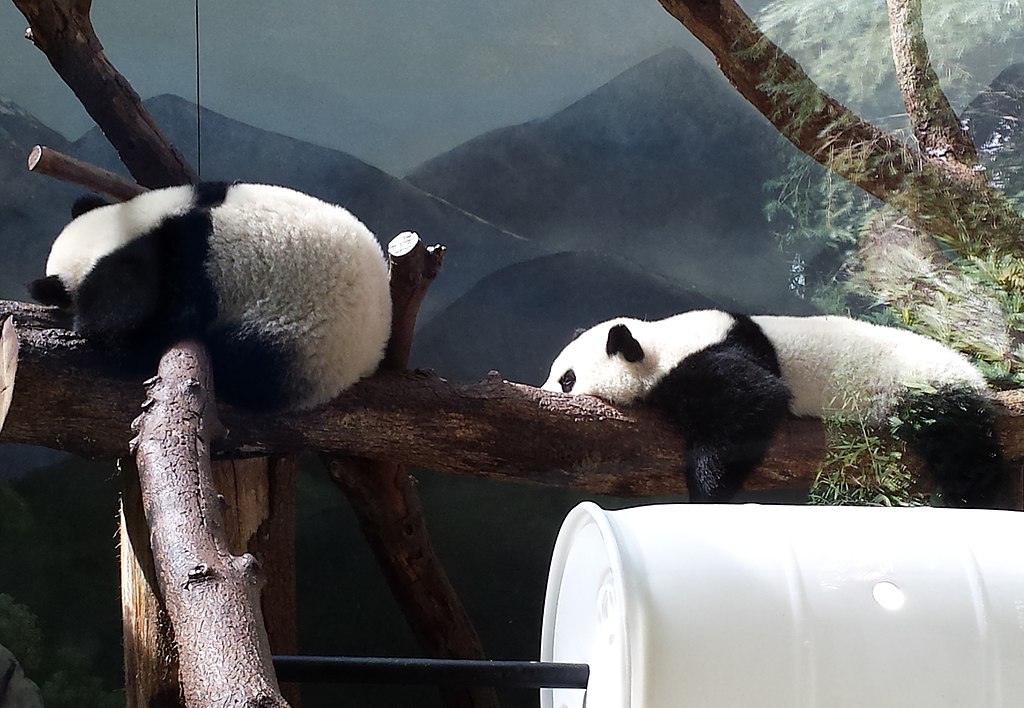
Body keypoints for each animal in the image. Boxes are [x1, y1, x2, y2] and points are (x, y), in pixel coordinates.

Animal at [24, 182, 391, 411]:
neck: (124, 229)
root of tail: (372, 353)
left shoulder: (172, 271)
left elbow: (132, 326)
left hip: (302, 334)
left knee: (248, 363)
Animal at [540, 309, 1003, 504]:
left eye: (568, 379)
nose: (542, 391)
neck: (659, 341)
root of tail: (974, 375)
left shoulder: (711, 356)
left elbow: (756, 400)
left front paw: (707, 492)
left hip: (925, 392)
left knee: (964, 454)